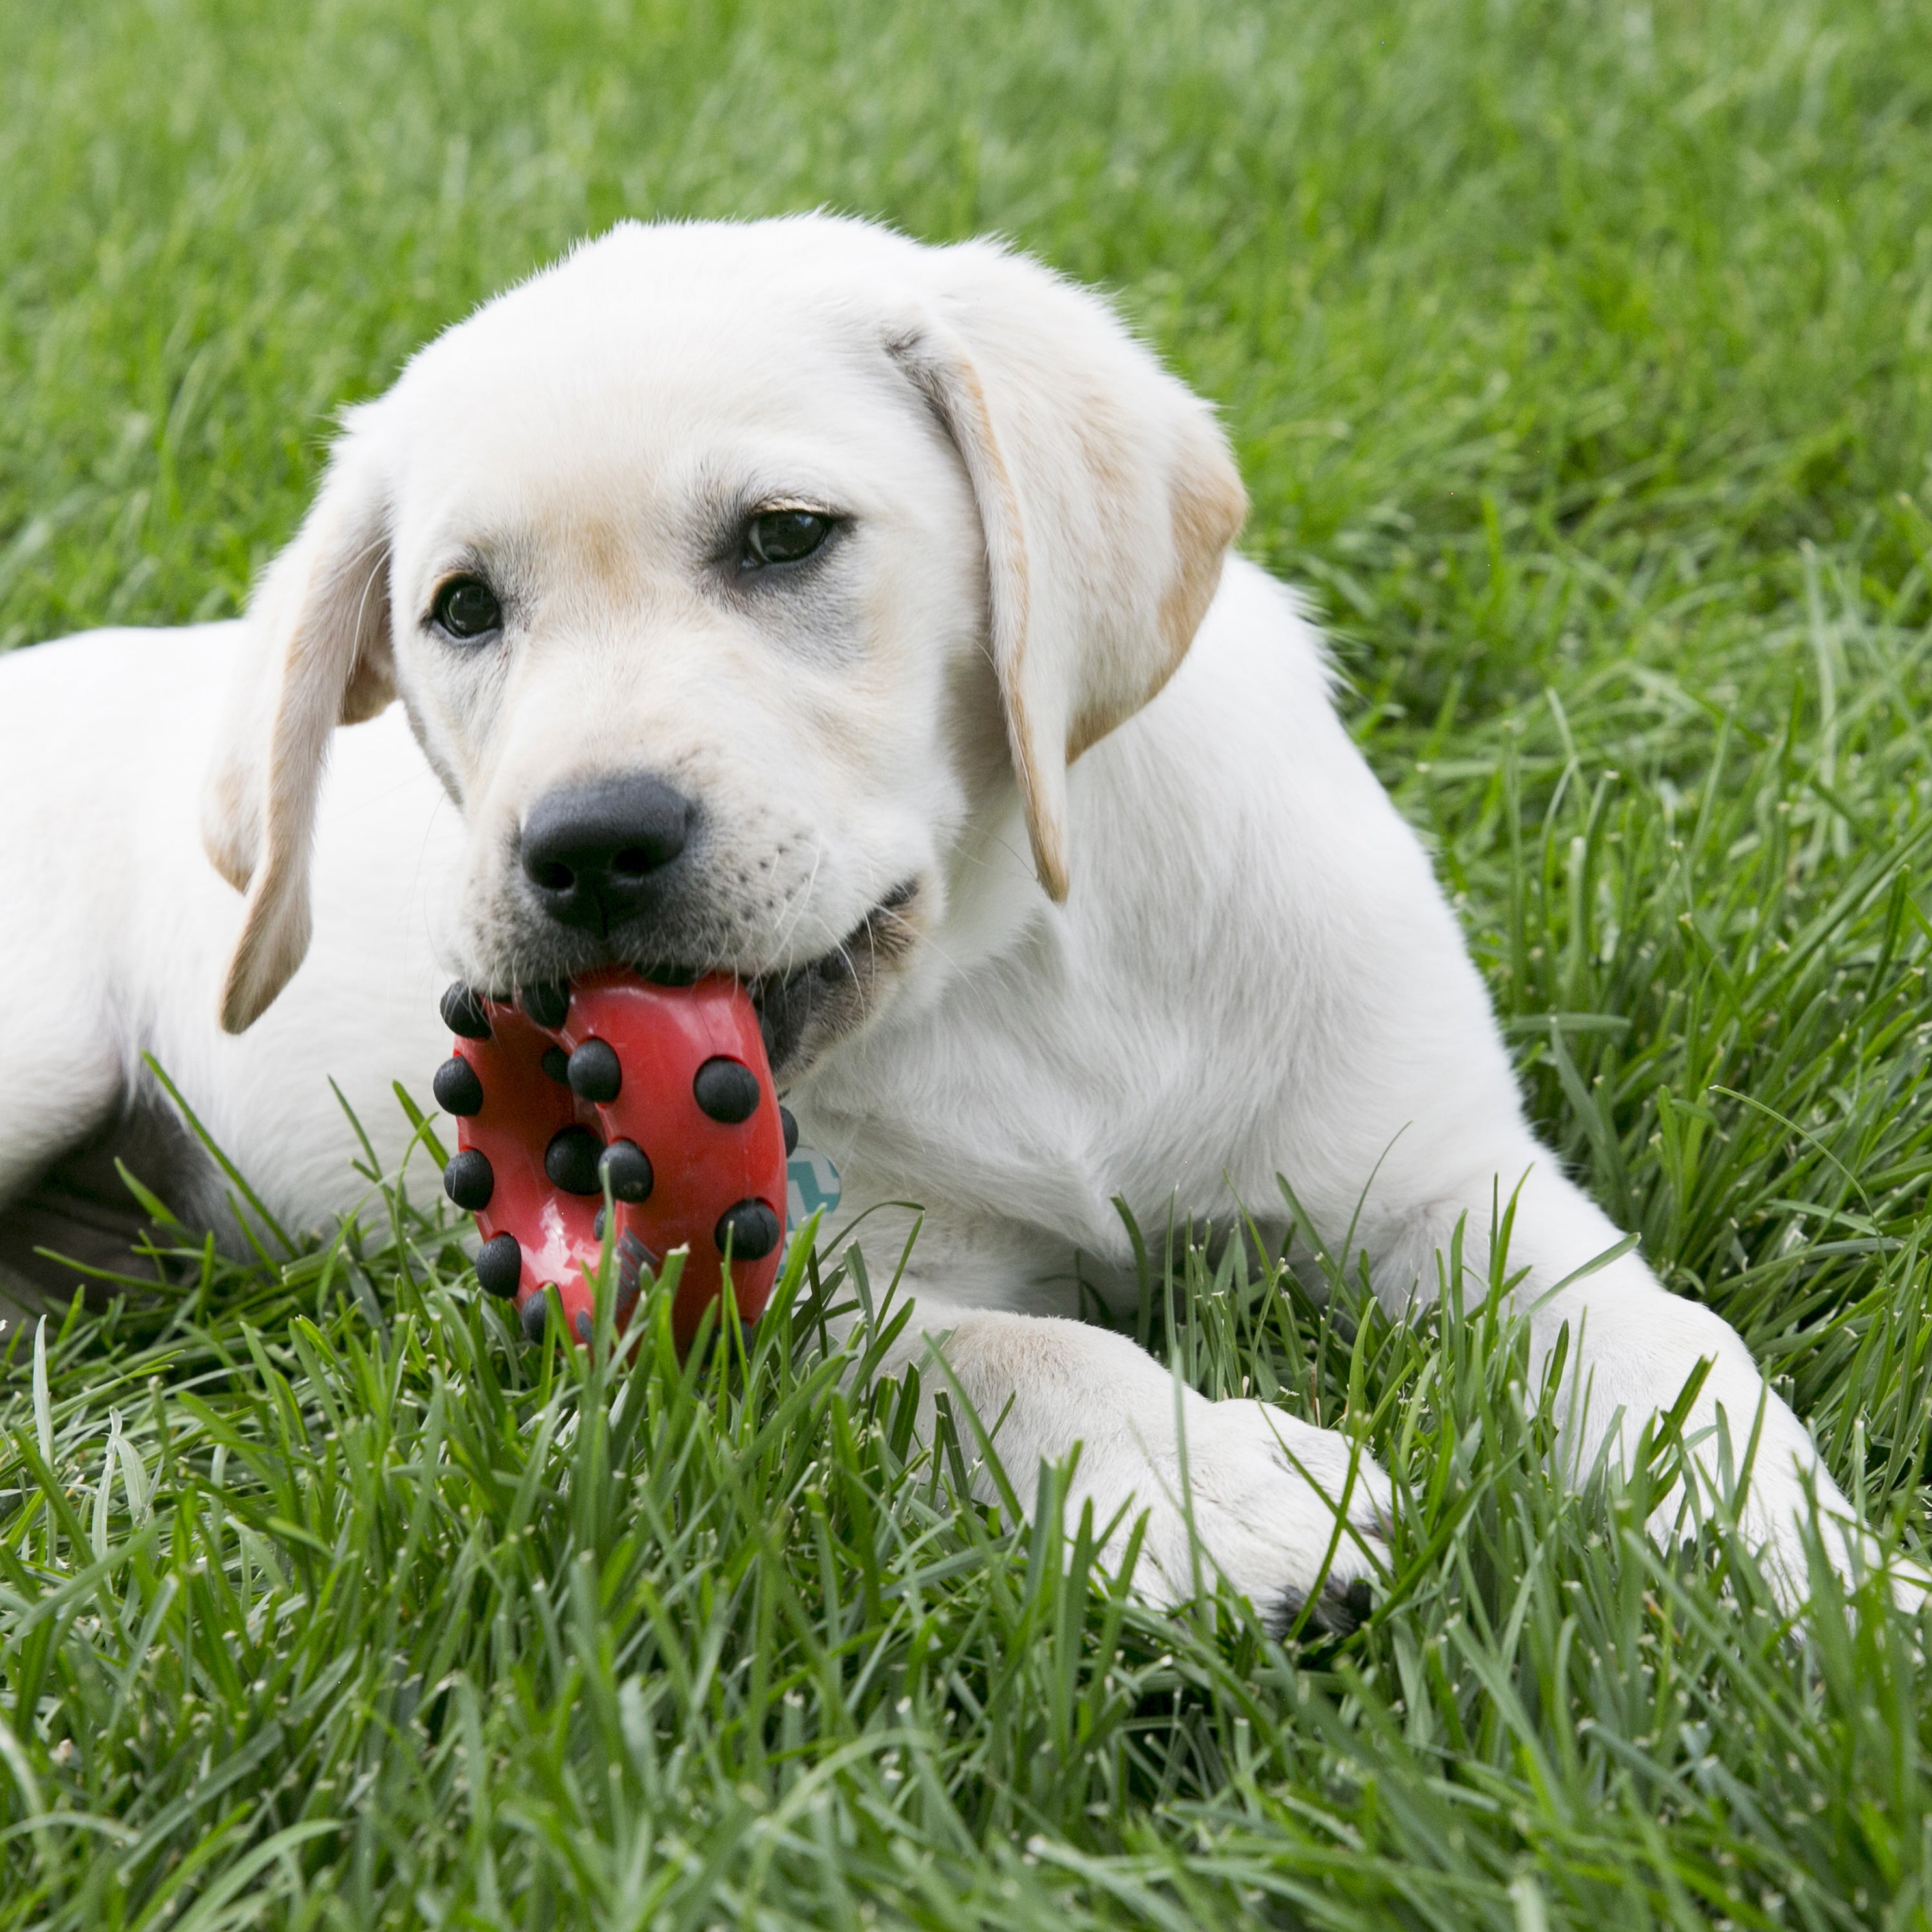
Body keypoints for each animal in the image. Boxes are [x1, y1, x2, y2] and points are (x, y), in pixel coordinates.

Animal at [0, 219, 1870, 1623]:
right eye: (461, 610)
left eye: (784, 537)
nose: (584, 848)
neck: (1020, 966)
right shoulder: (826, 1286)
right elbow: (1019, 1349)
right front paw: (1217, 1490)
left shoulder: (1449, 1178)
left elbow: (1664, 1341)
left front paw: (1806, 1565)